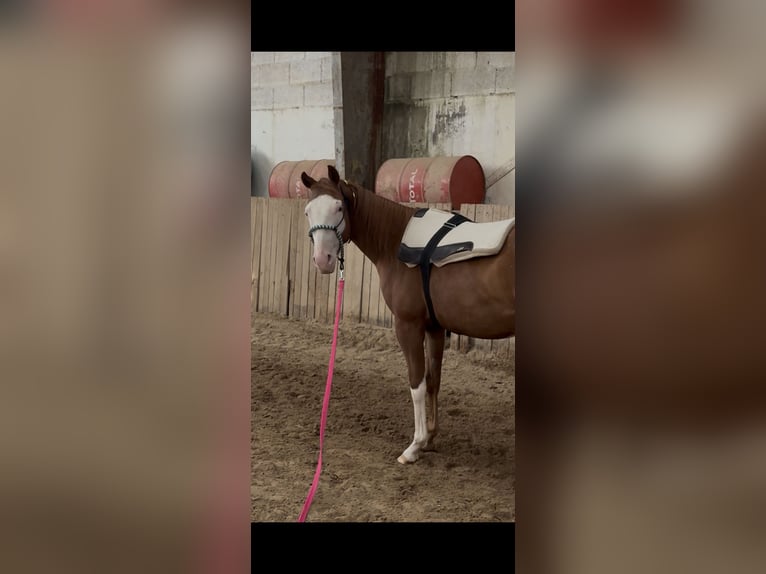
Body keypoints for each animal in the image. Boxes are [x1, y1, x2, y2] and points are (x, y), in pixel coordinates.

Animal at [300, 165, 515, 464]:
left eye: (339, 207)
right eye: (308, 211)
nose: (323, 260)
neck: (395, 241)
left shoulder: (408, 326)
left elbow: (417, 384)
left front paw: (415, 446)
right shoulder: (434, 327)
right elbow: (434, 380)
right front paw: (431, 439)